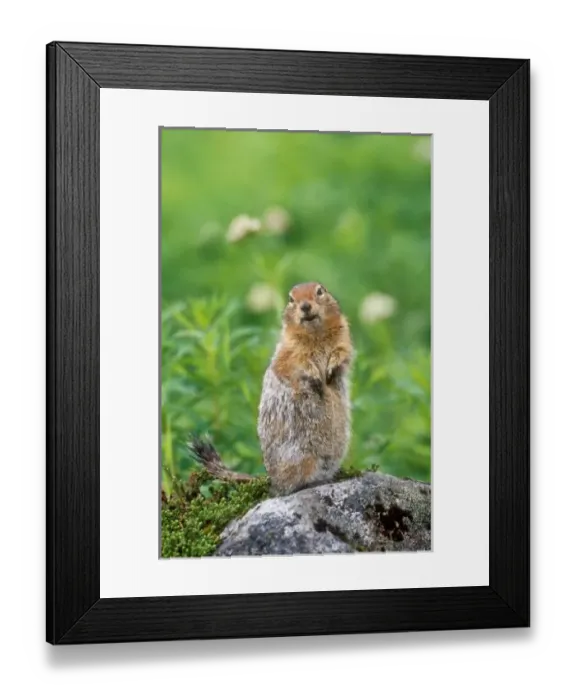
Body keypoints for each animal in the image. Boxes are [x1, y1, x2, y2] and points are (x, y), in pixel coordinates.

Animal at [189, 281, 354, 496]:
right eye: (291, 299)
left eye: (320, 291)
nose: (305, 306)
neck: (315, 334)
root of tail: (271, 479)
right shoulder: (288, 350)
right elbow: (295, 363)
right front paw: (315, 377)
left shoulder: (344, 337)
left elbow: (342, 353)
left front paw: (332, 368)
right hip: (301, 458)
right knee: (288, 487)